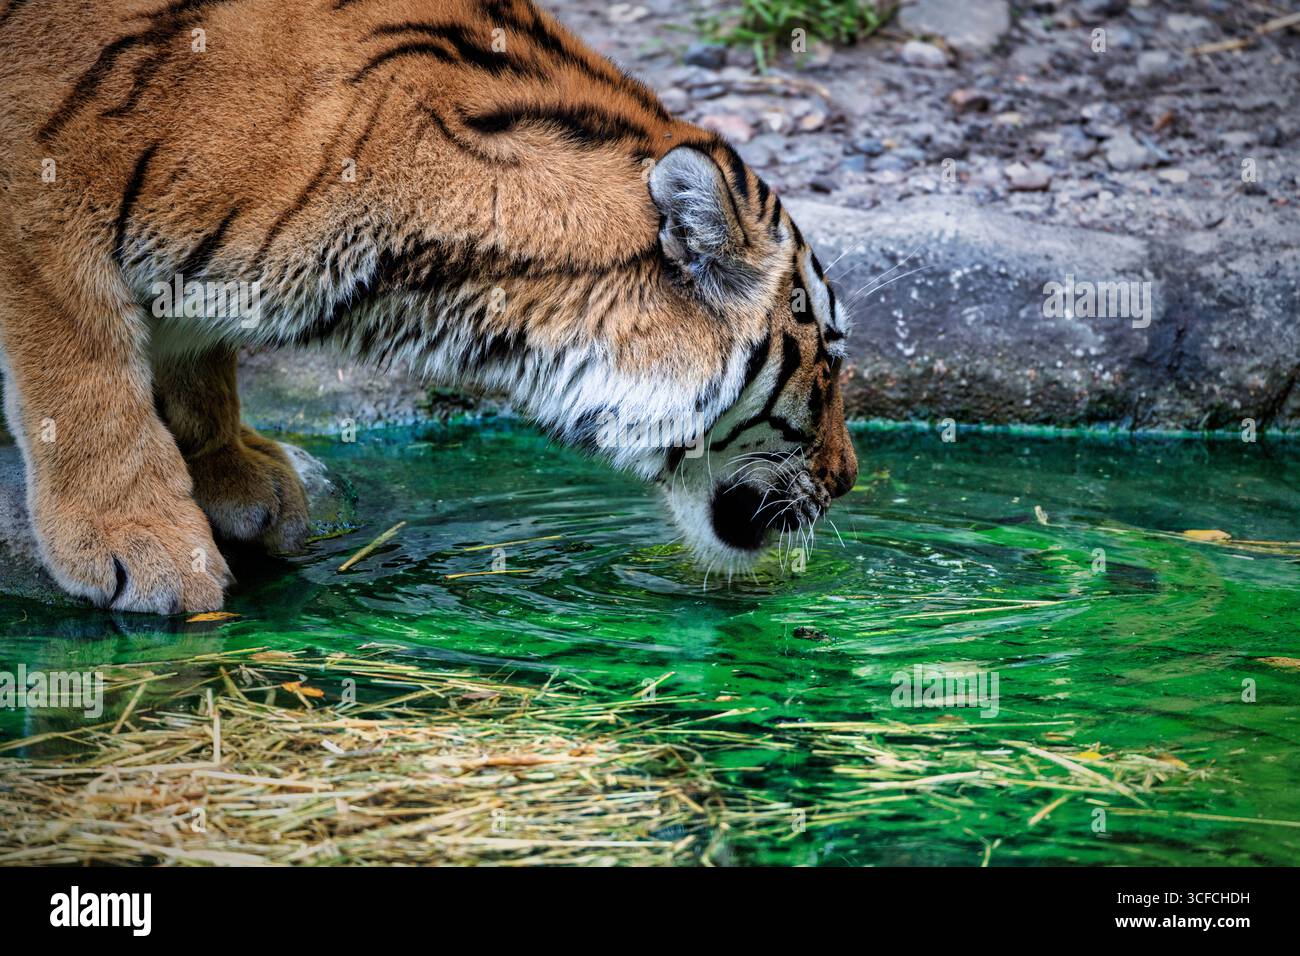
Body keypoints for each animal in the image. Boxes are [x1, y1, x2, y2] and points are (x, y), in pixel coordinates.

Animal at [0, 0, 857, 614]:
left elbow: (194, 354)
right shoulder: (41, 203)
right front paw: (138, 542)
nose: (849, 479)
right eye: (830, 362)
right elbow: (83, 373)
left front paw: (236, 475)